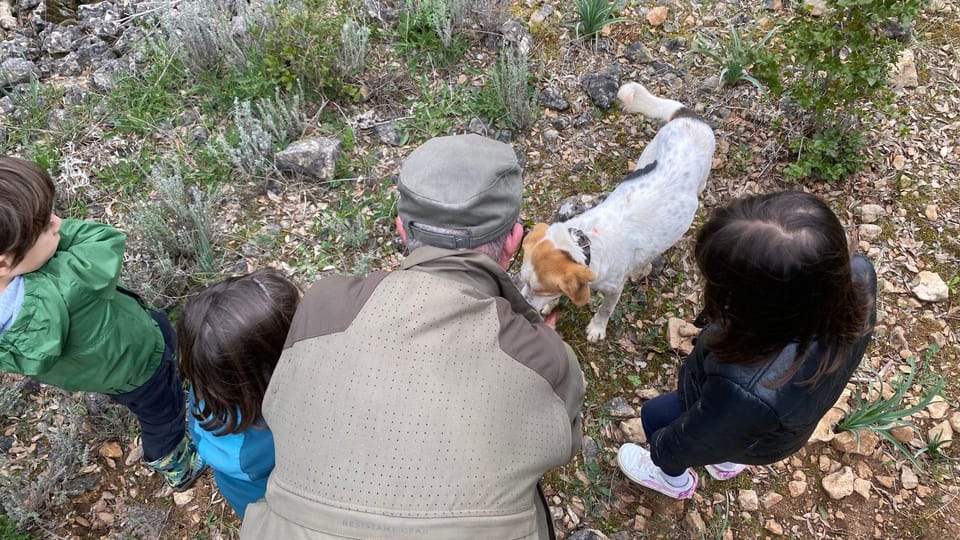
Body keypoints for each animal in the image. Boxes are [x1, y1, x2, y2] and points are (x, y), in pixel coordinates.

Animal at [516, 81, 712, 340]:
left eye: (540, 289)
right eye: (524, 281)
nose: (521, 305)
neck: (585, 244)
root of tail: (689, 117)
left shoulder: (613, 289)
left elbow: (605, 310)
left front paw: (597, 328)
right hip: (647, 156)